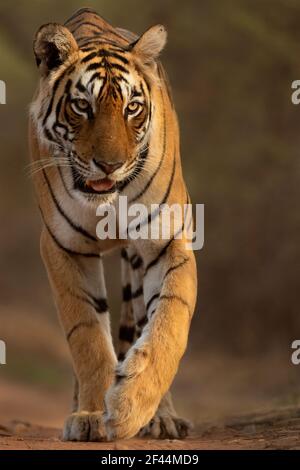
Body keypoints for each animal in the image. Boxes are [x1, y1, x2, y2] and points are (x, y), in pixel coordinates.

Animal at [28, 7, 197, 440]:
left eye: (132, 108)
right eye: (81, 106)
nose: (110, 164)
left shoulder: (166, 241)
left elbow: (168, 323)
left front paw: (130, 406)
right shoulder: (63, 247)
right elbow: (87, 336)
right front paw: (91, 416)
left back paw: (162, 419)